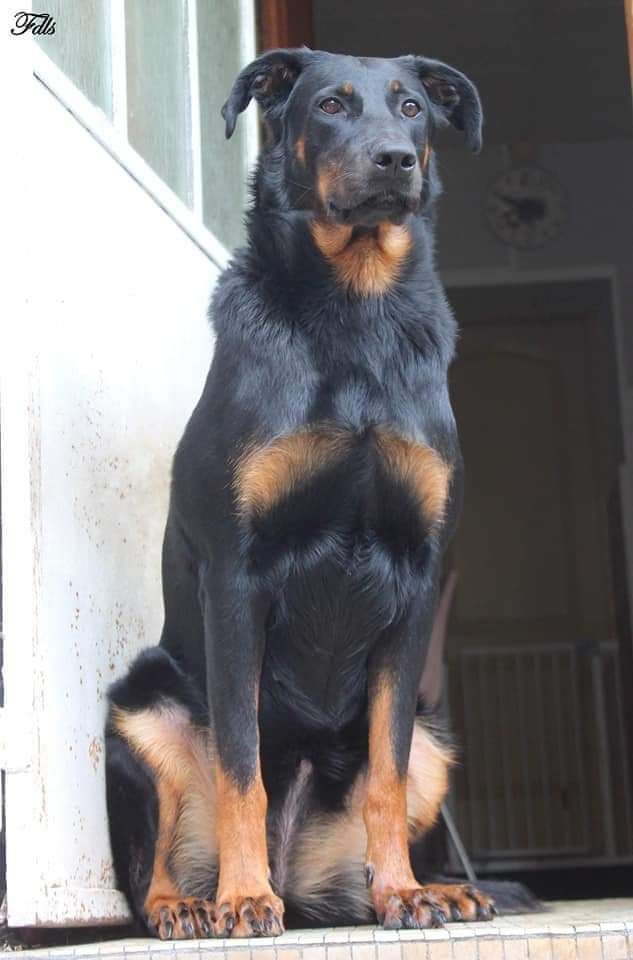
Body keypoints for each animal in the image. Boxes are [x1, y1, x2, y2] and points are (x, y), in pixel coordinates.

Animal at [106, 47, 499, 940]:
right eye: (328, 105)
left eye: (413, 107)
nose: (393, 159)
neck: (355, 307)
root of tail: (305, 881)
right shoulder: (236, 575)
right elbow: (240, 764)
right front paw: (243, 898)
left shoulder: (416, 576)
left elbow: (385, 771)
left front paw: (404, 894)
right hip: (141, 707)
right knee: (148, 869)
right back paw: (197, 903)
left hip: (437, 737)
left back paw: (426, 887)